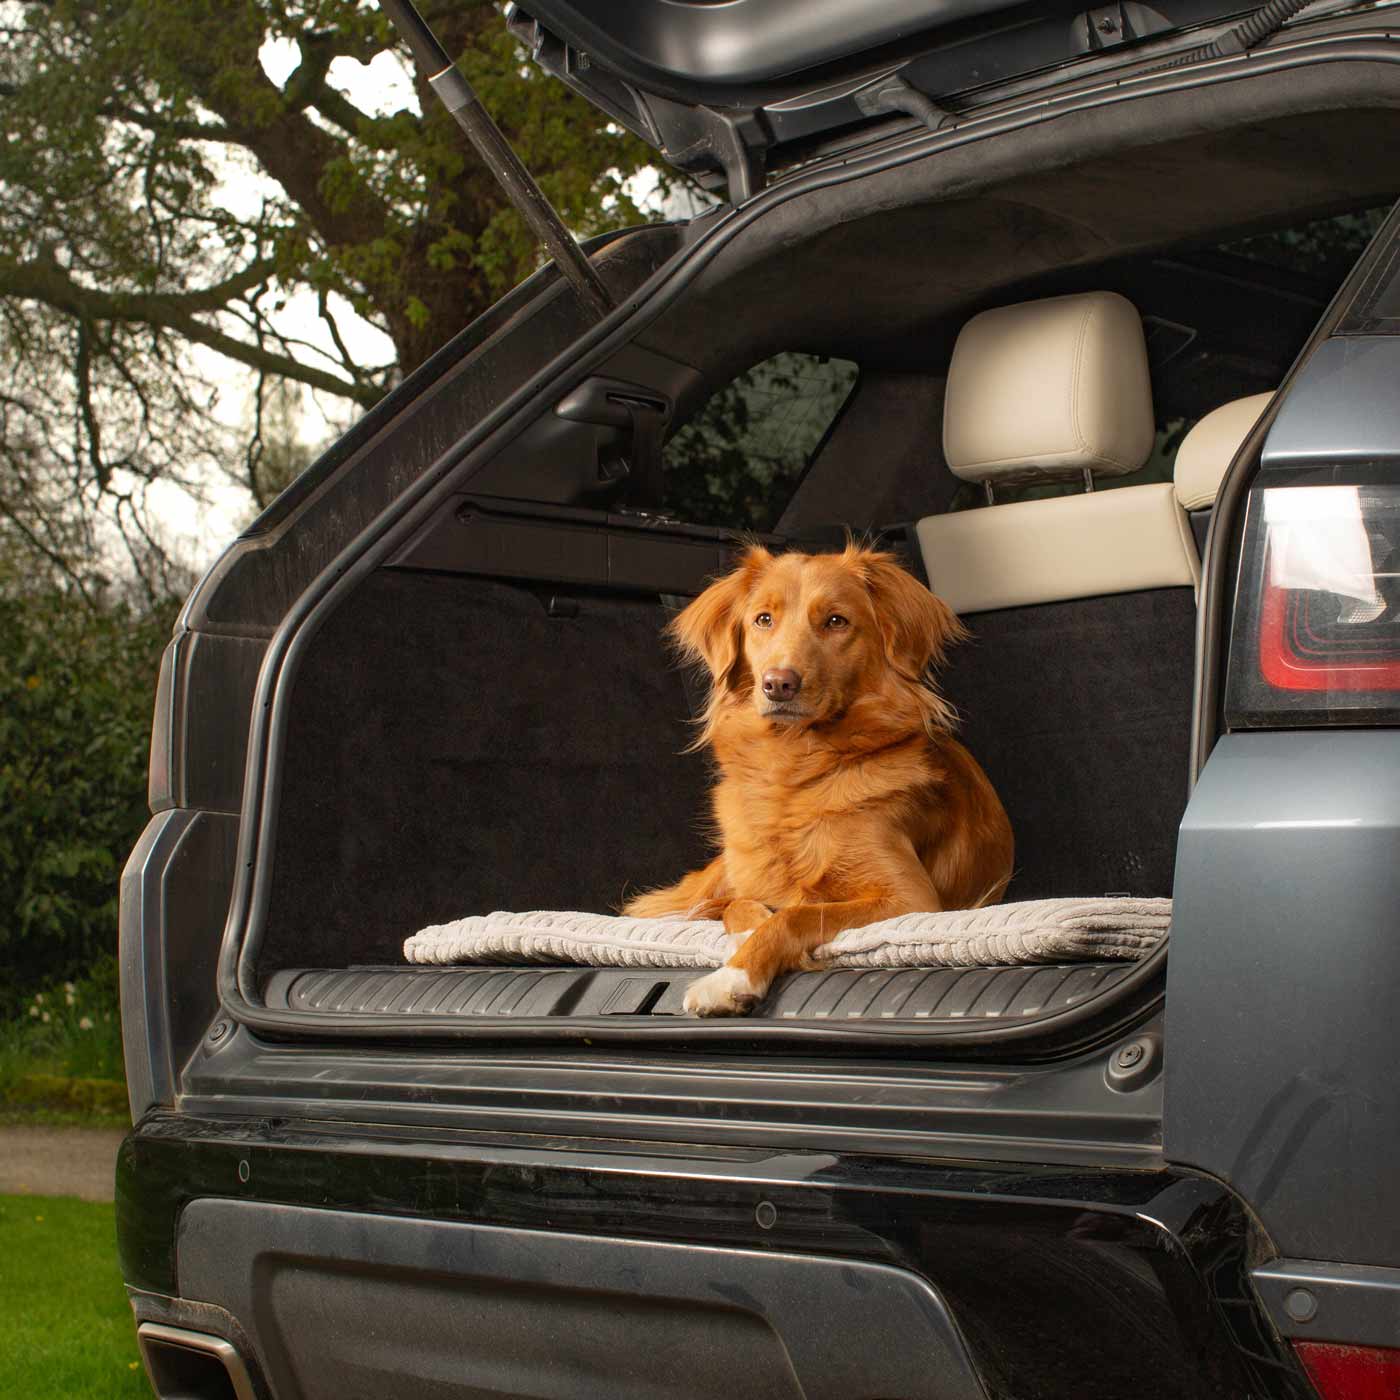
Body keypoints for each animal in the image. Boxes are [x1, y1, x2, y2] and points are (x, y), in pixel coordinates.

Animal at [621, 543, 1008, 1019]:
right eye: (763, 619)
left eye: (836, 621)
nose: (777, 684)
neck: (794, 770)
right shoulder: (750, 882)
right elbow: (741, 905)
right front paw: (747, 937)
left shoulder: (912, 900)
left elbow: (798, 914)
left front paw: (732, 978)